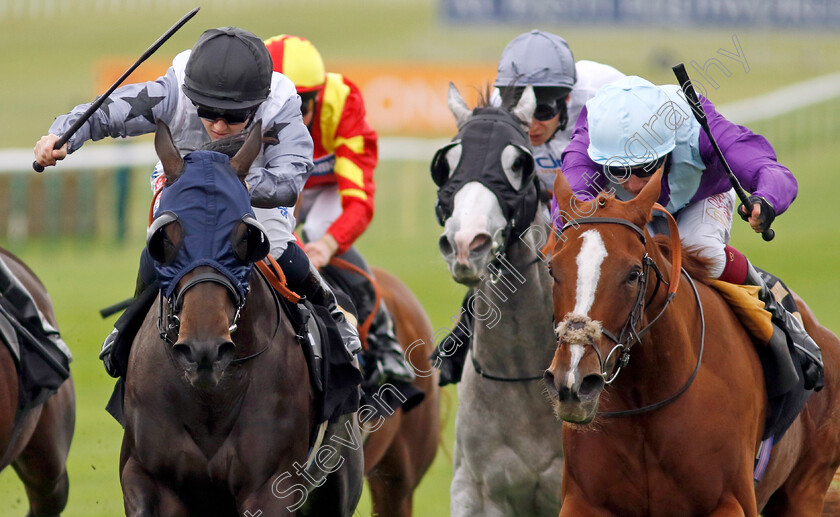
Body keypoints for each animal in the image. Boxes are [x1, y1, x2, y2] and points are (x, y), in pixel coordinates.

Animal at [120, 120, 362, 512]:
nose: (203, 350)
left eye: (247, 236)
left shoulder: (271, 485)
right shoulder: (147, 477)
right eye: (164, 238)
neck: (210, 400)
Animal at [544, 168, 840, 512]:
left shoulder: (731, 502)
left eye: (633, 274)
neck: (645, 401)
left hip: (806, 487)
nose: (573, 381)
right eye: (553, 270)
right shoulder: (583, 501)